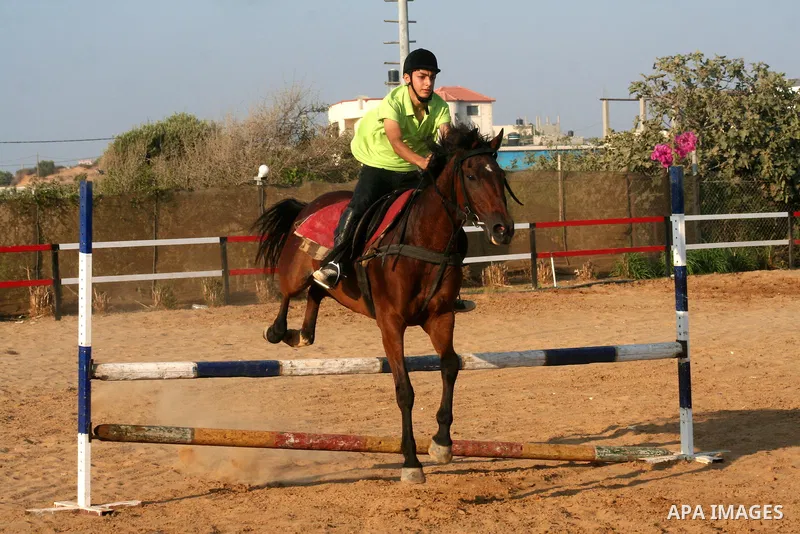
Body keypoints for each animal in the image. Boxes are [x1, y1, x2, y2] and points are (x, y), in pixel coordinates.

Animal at [253, 124, 518, 483]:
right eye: (472, 175)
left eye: (500, 175)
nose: (503, 229)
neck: (423, 239)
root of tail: (309, 204)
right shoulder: (391, 323)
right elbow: (404, 390)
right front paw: (411, 462)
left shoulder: (441, 317)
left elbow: (450, 365)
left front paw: (441, 443)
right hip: (295, 270)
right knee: (288, 293)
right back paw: (279, 330)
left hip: (332, 288)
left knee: (316, 294)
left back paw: (302, 334)